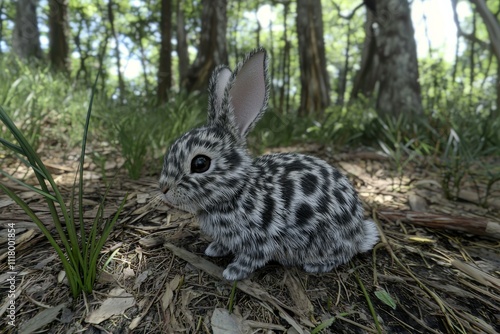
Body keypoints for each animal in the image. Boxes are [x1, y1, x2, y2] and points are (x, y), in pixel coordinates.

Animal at [160, 47, 378, 280]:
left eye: (200, 163)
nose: (163, 189)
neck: (237, 192)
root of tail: (359, 233)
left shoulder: (260, 239)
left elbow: (252, 257)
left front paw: (232, 272)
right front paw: (215, 249)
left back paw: (316, 266)